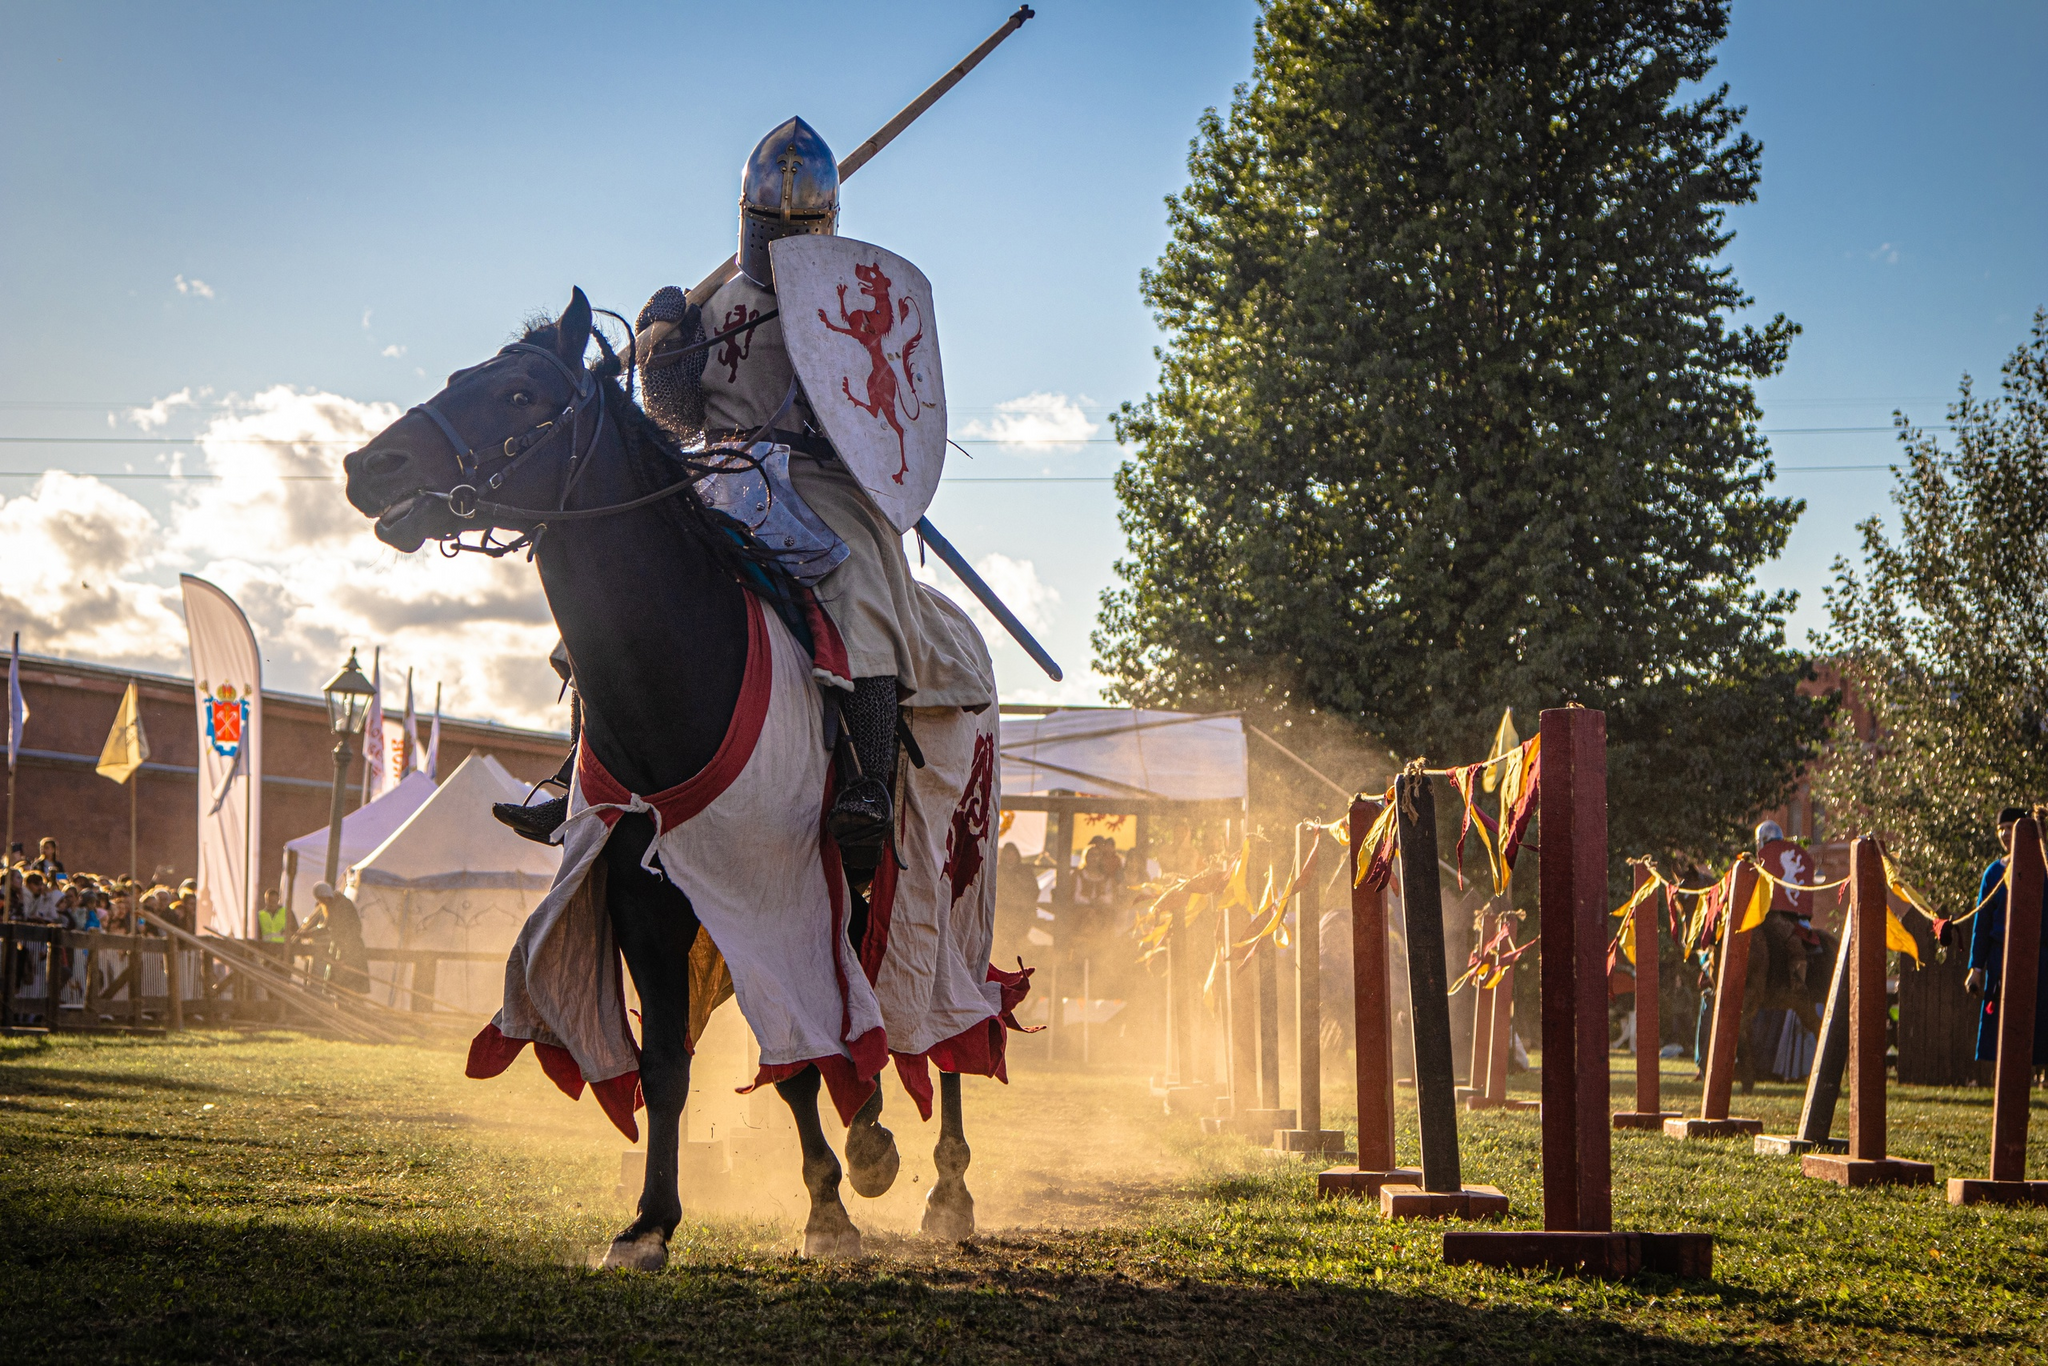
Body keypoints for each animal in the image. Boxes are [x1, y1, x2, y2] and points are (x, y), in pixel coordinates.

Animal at [344, 288, 983, 1269]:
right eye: (461, 376)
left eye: (522, 395)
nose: (370, 465)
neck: (676, 673)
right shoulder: (646, 902)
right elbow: (673, 1064)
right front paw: (653, 1221)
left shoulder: (778, 890)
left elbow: (795, 1047)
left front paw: (829, 1209)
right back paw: (872, 1133)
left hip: (951, 877)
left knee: (946, 1016)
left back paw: (948, 1188)